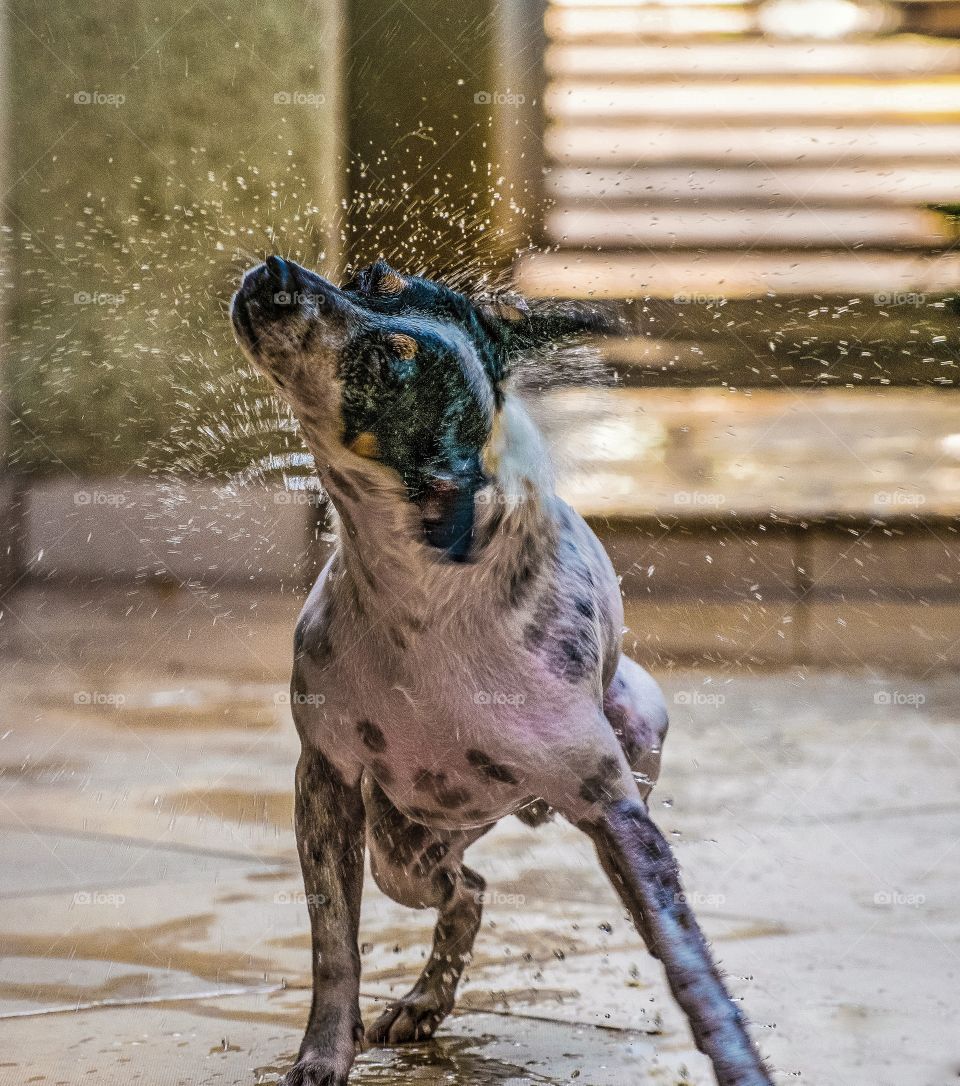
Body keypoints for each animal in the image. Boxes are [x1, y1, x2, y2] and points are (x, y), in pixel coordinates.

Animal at [230, 254, 773, 1086]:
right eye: (373, 276)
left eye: (389, 361)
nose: (279, 268)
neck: (424, 597)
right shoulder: (324, 780)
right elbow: (335, 949)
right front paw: (324, 1052)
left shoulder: (615, 814)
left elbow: (691, 969)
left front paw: (735, 1055)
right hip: (400, 851)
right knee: (467, 891)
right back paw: (424, 1002)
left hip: (630, 726)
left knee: (477, 883)